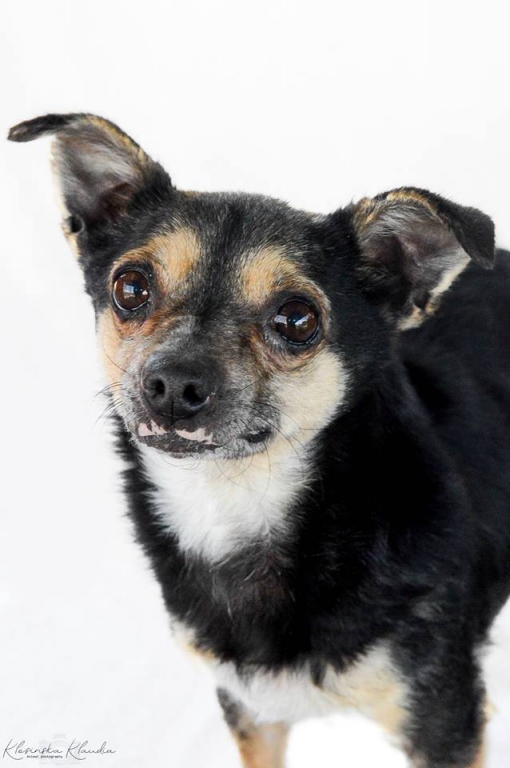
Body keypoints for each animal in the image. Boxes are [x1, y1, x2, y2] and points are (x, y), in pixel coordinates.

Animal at [9, 113, 510, 768]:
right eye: (131, 288)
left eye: (297, 320)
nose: (173, 384)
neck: (235, 504)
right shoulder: (249, 709)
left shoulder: (443, 718)